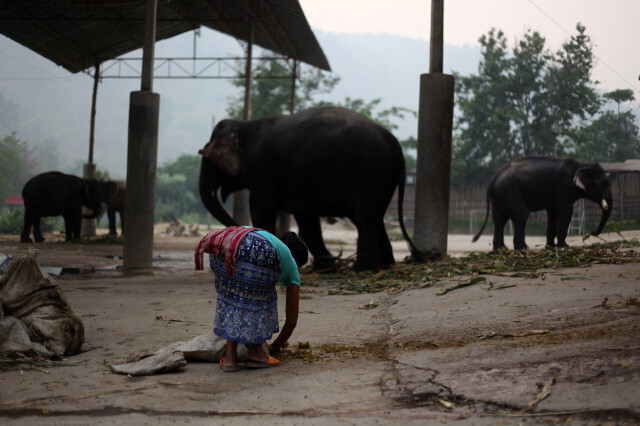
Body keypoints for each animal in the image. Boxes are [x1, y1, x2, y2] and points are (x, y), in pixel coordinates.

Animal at [198, 105, 422, 272]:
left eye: (209, 161)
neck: (243, 125)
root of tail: (394, 143)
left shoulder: (263, 171)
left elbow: (262, 212)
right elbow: (307, 220)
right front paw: (327, 266)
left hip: (370, 172)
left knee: (365, 219)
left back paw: (360, 270)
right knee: (374, 219)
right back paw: (385, 265)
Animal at [472, 156, 612, 250]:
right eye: (602, 184)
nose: (591, 233)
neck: (581, 165)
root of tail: (493, 179)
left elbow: (553, 213)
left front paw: (550, 247)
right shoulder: (564, 187)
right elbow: (566, 211)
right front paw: (564, 246)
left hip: (499, 197)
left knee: (499, 220)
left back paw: (501, 249)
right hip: (510, 193)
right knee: (521, 215)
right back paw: (523, 248)